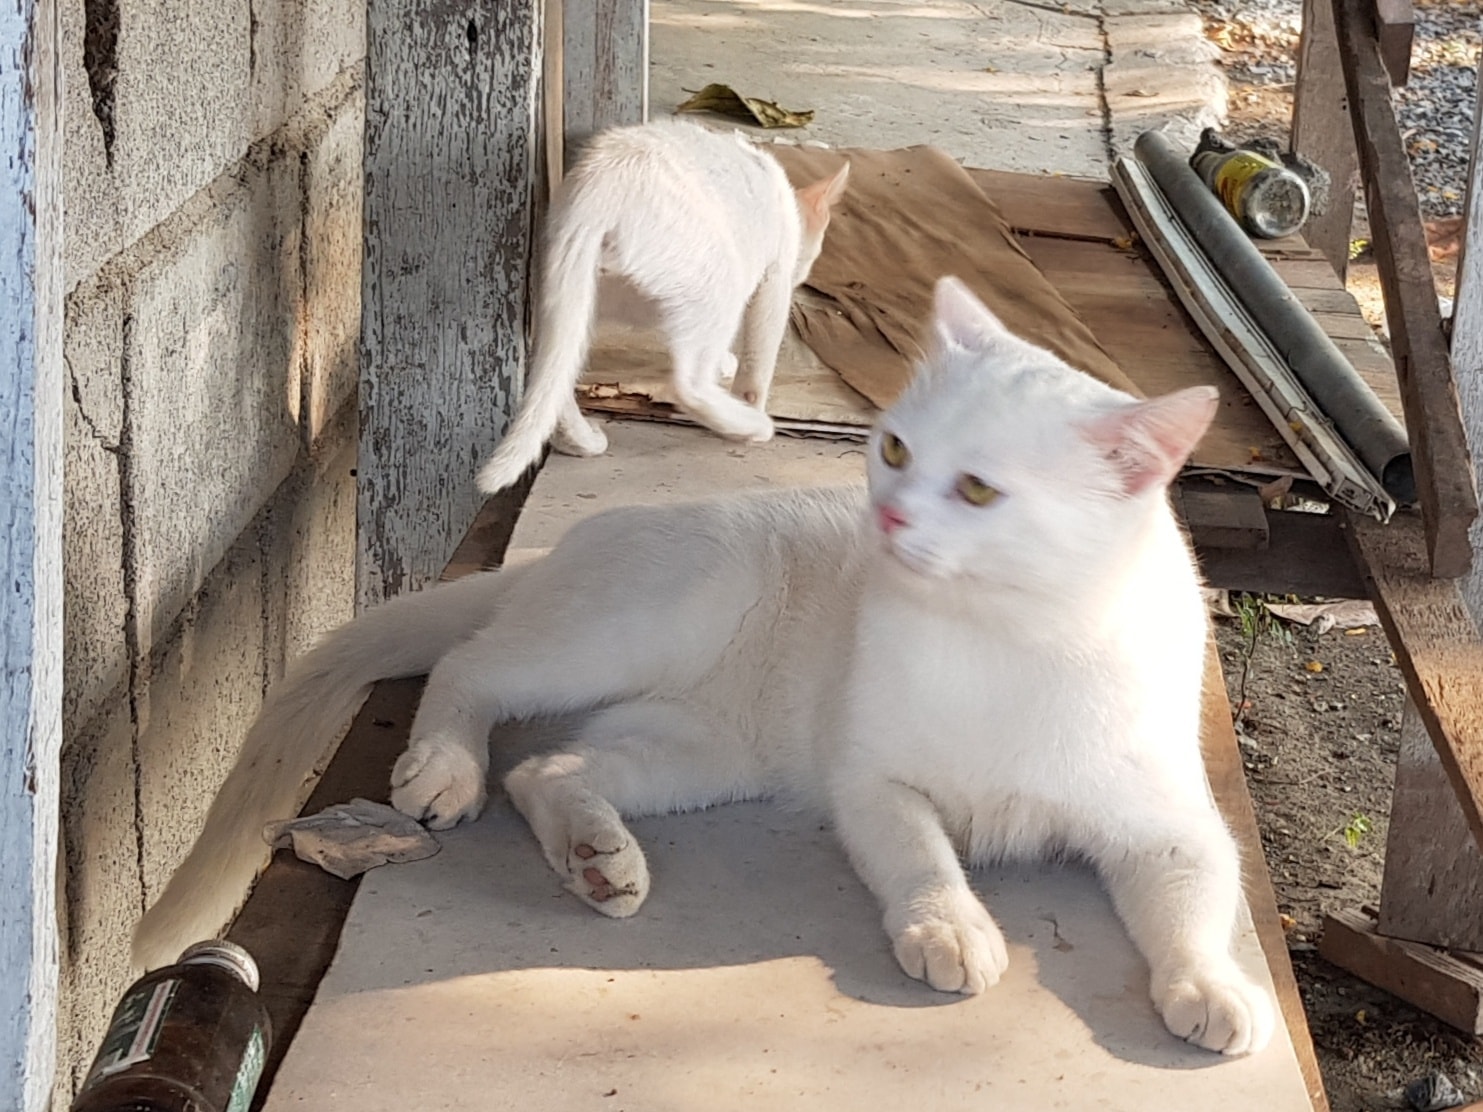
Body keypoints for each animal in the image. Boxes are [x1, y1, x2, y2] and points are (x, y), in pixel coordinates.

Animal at [134, 278, 1274, 1057]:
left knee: (549, 768)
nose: (887, 517)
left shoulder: (1173, 825)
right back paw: (447, 770)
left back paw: (596, 857)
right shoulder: (873, 783)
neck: (1010, 639)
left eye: (981, 490)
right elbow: (922, 854)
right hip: (648, 620)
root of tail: (571, 545)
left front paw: (1215, 989)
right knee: (470, 667)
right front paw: (949, 925)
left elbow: (1198, 904)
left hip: (704, 750)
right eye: (895, 450)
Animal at [474, 119, 850, 494]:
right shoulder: (776, 277)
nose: (806, 273)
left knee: (555, 372)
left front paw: (724, 363)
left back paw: (579, 439)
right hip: (719, 276)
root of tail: (598, 192)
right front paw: (747, 397)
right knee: (689, 384)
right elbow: (758, 364)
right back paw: (751, 424)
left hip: (579, 296)